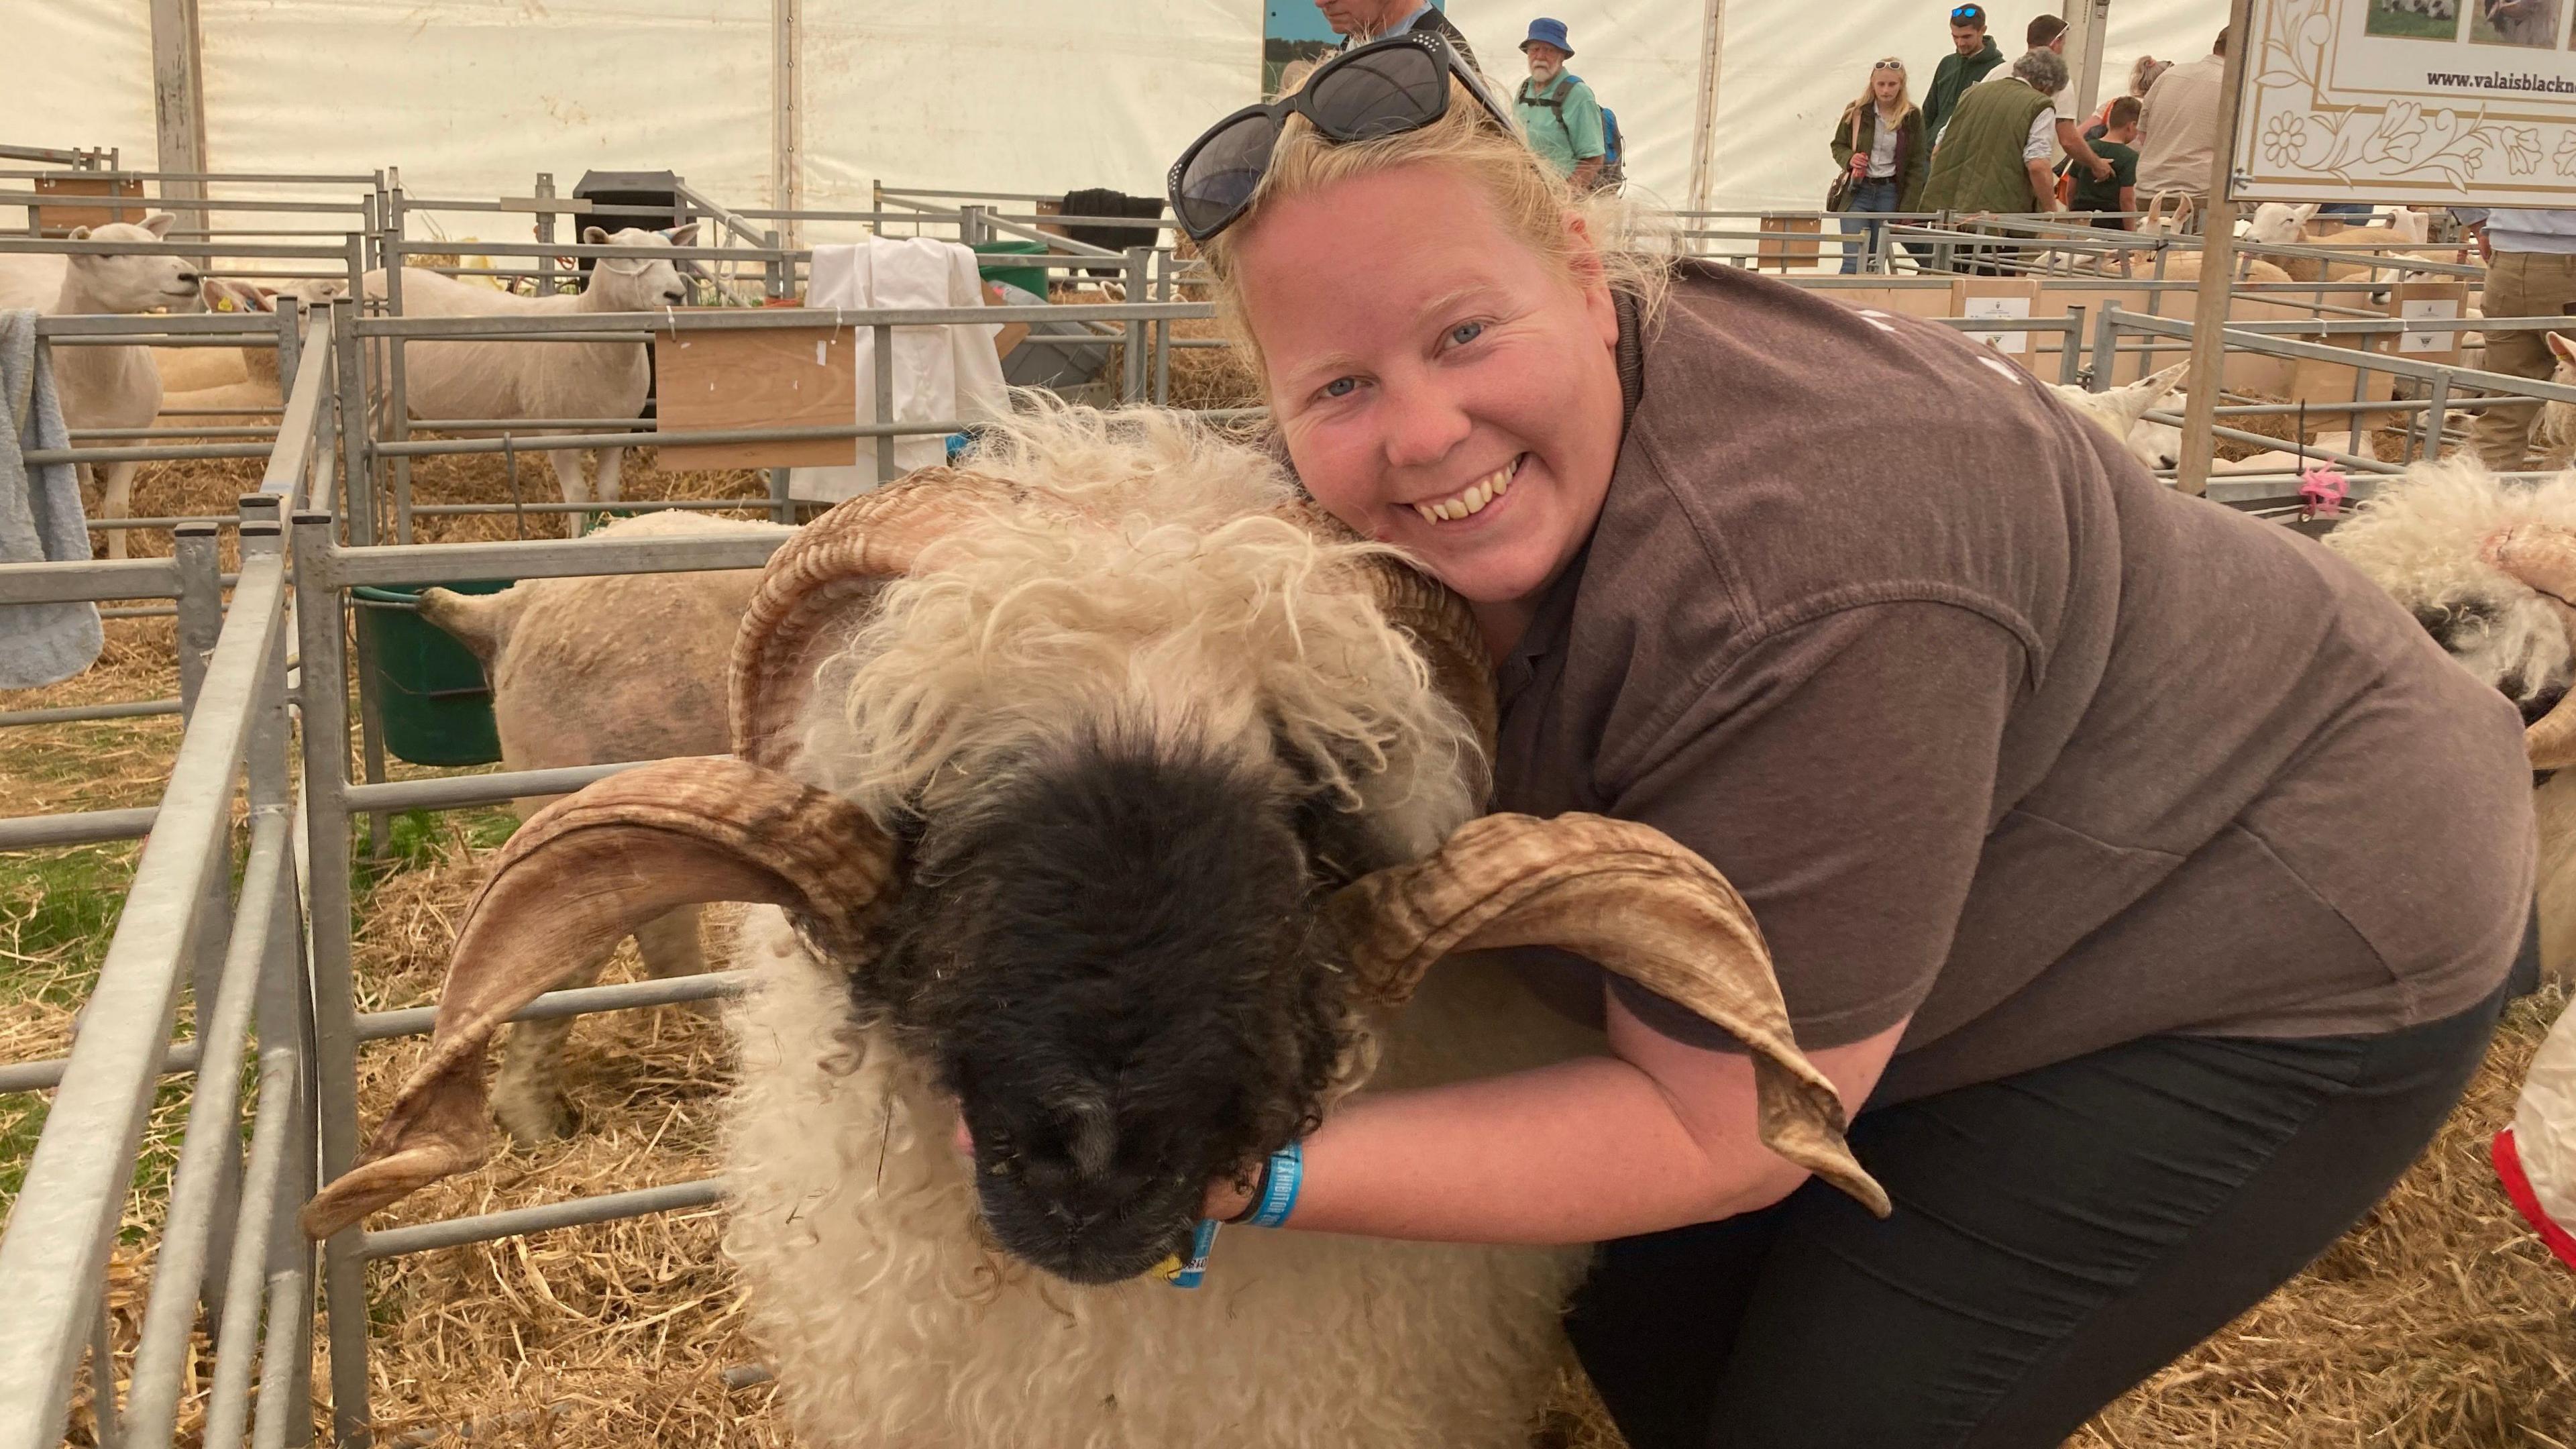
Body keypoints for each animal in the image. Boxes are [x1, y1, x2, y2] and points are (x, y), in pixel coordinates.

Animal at [0, 214, 201, 559]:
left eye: (157, 244)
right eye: (106, 254)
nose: (189, 275)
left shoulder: (135, 440)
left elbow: (117, 508)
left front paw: (119, 559)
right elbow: (74, 512)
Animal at [363, 228, 700, 533]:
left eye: (672, 258)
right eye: (629, 257)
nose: (675, 295)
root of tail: (370, 275)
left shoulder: (616, 433)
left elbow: (609, 493)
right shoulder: (558, 435)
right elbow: (578, 497)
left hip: (393, 394)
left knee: (380, 431)